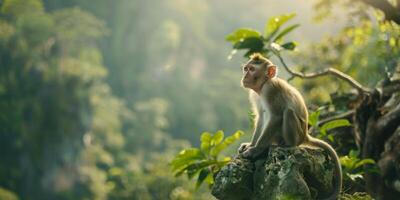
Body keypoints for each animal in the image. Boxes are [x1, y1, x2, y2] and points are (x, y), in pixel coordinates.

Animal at [238, 52, 344, 199]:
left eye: (252, 70)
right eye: (246, 69)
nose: (245, 76)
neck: (263, 85)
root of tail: (305, 135)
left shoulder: (271, 89)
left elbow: (276, 117)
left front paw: (255, 150)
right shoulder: (254, 95)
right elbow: (260, 117)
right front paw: (251, 145)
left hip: (297, 134)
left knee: (287, 113)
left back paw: (287, 145)